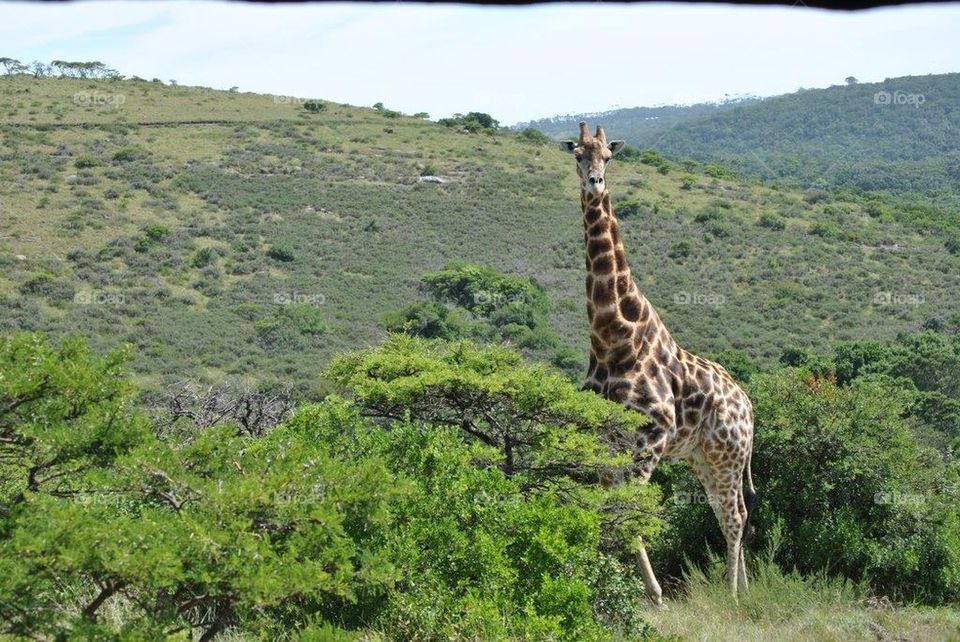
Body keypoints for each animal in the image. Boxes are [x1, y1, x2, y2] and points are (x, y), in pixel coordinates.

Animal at [561, 122, 757, 603]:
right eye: (577, 154)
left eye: (608, 157)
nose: (594, 183)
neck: (612, 337)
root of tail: (749, 406)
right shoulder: (605, 442)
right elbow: (606, 510)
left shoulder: (650, 439)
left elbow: (631, 513)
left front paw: (652, 595)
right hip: (703, 457)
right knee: (733, 512)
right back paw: (746, 588)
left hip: (726, 453)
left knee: (734, 517)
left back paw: (732, 596)